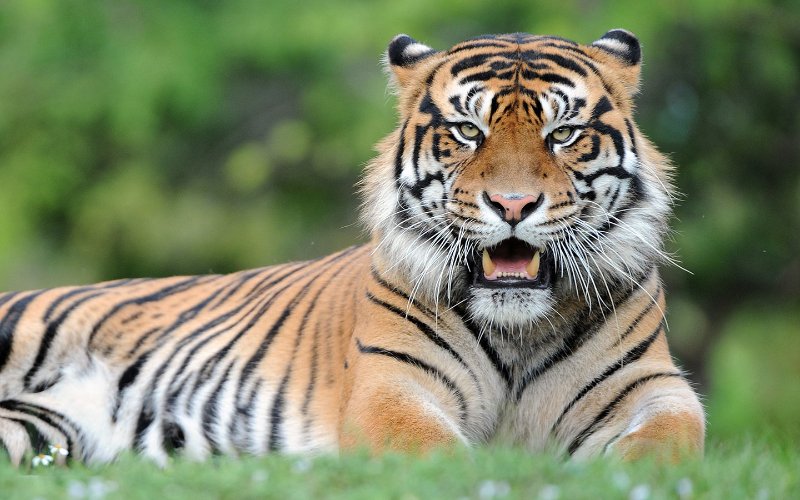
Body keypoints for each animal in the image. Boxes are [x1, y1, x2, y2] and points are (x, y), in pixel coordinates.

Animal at [0, 29, 704, 466]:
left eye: (563, 134)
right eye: (467, 131)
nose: (512, 205)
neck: (518, 332)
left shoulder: (652, 385)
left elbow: (672, 440)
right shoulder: (390, 387)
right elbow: (438, 453)